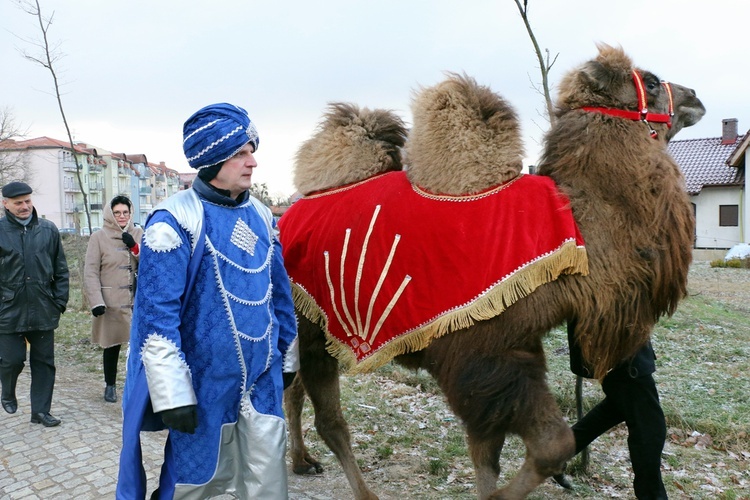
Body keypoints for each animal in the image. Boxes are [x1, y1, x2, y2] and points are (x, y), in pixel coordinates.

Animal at [280, 44, 708, 500]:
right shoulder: (481, 356)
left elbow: (488, 455)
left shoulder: (515, 345)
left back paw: (302, 461)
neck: (575, 233)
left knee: (294, 390)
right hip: (310, 325)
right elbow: (551, 445)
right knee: (328, 418)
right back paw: (359, 489)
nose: (695, 96)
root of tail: (286, 217)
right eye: (650, 81)